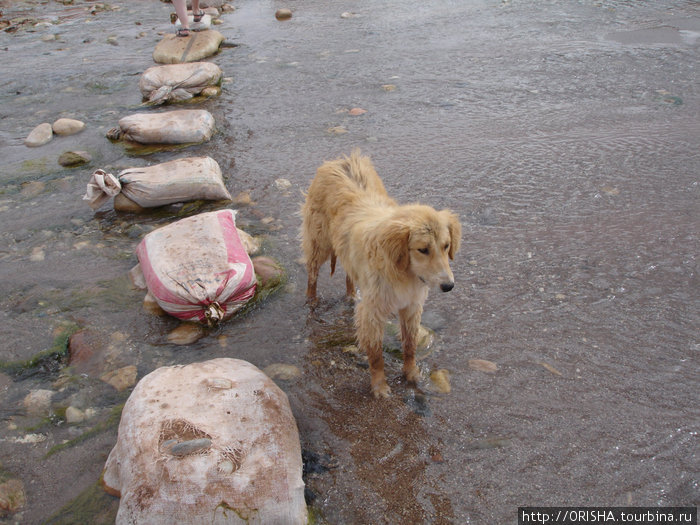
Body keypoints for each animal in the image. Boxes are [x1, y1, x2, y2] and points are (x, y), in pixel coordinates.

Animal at [300, 151, 460, 398]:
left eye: (446, 245)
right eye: (423, 249)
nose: (448, 285)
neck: (401, 271)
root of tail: (339, 160)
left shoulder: (411, 306)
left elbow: (410, 345)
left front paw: (412, 374)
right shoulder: (373, 311)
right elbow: (376, 356)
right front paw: (380, 386)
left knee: (349, 275)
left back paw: (350, 296)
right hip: (319, 242)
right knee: (312, 273)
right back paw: (312, 300)